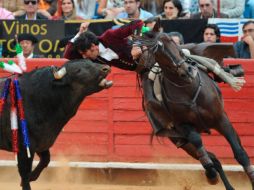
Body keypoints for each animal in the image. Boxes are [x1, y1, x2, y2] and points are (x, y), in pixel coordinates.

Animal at [0, 59, 112, 190]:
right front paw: (25, 181)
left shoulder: (43, 141)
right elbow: (25, 173)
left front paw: (31, 177)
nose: (106, 68)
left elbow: (46, 160)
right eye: (77, 71)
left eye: (90, 61)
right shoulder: (24, 148)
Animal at [133, 31, 254, 190]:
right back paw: (212, 175)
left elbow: (241, 154)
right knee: (212, 158)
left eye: (174, 43)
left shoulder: (221, 119)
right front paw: (210, 172)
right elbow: (198, 141)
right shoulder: (182, 125)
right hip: (181, 141)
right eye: (159, 52)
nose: (187, 71)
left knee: (215, 158)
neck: (187, 88)